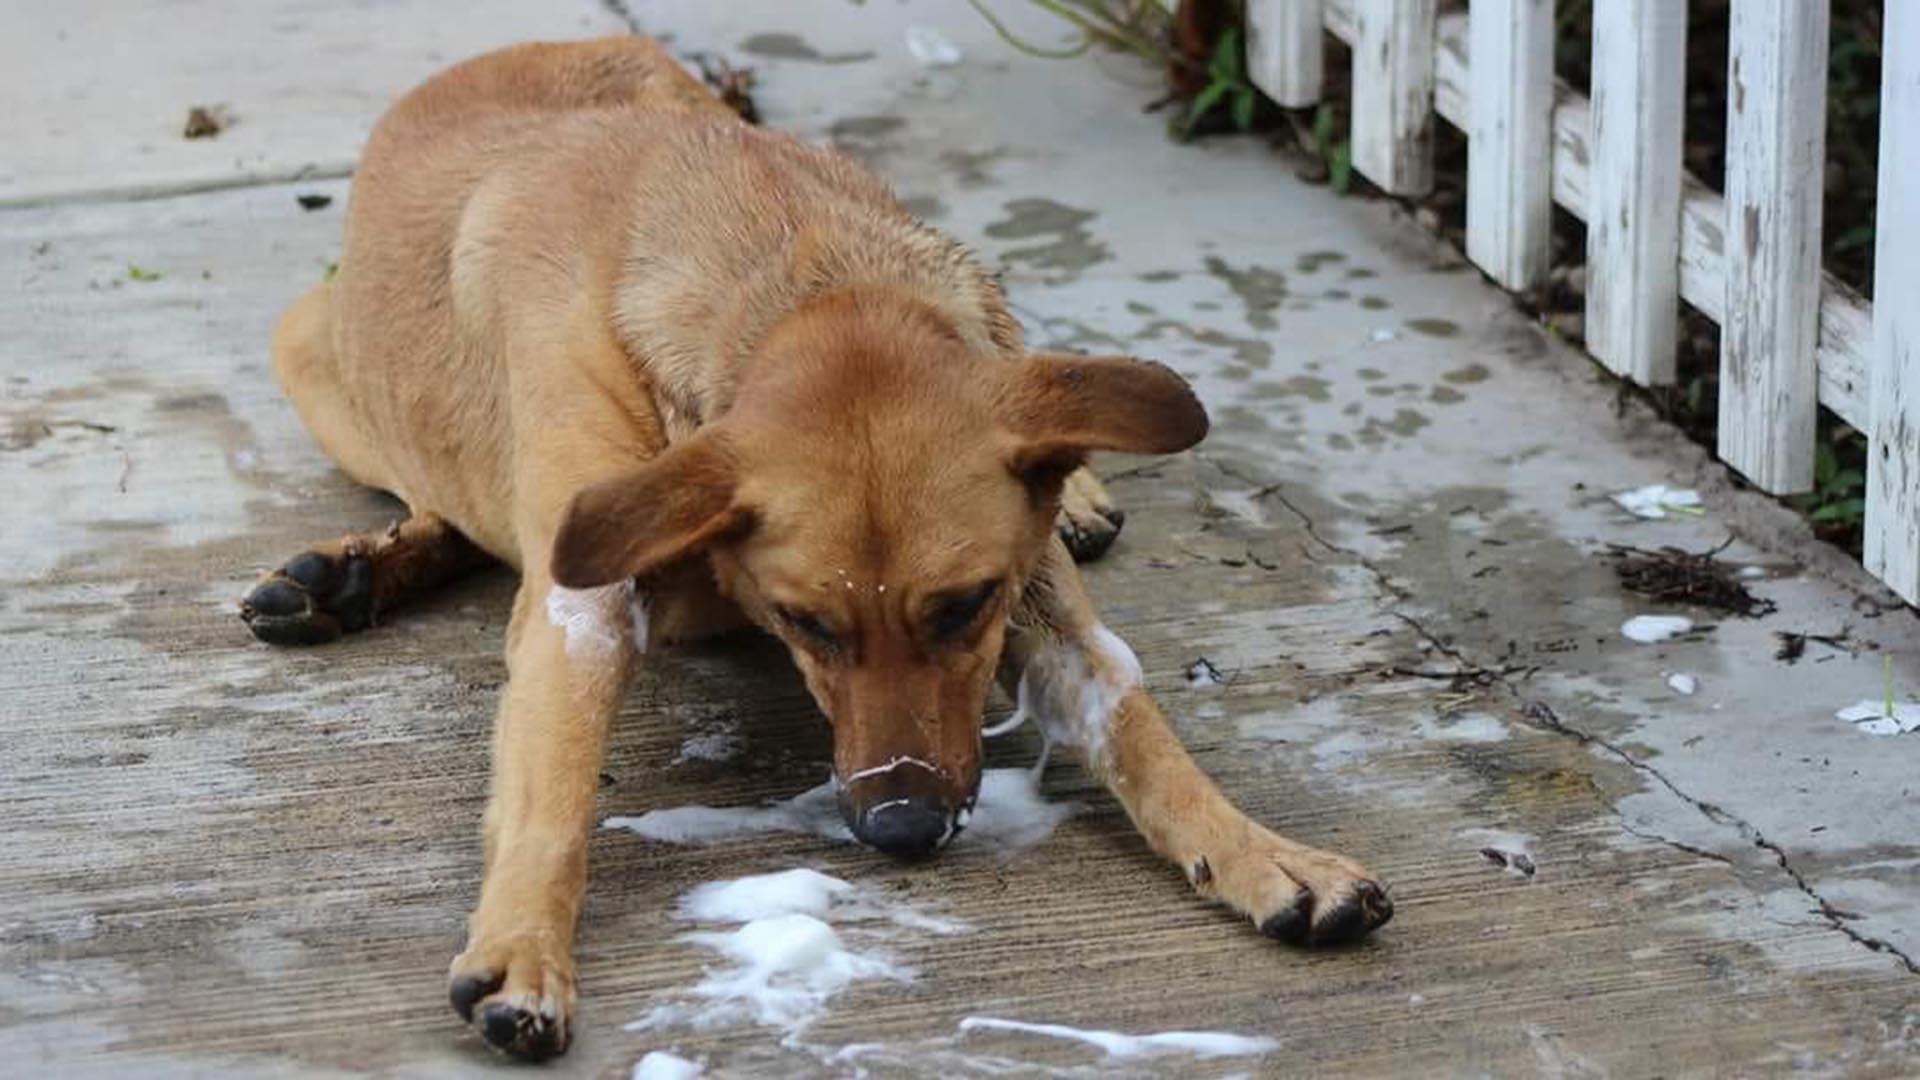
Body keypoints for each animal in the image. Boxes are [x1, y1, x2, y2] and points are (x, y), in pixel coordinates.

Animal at [240, 35, 1390, 1060]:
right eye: (803, 622)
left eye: (964, 608)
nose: (903, 832)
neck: (797, 279)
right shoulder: (586, 595)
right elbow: (555, 796)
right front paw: (523, 947)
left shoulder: (1030, 588)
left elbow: (1142, 731)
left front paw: (1259, 855)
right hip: (316, 364)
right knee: (442, 500)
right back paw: (348, 573)